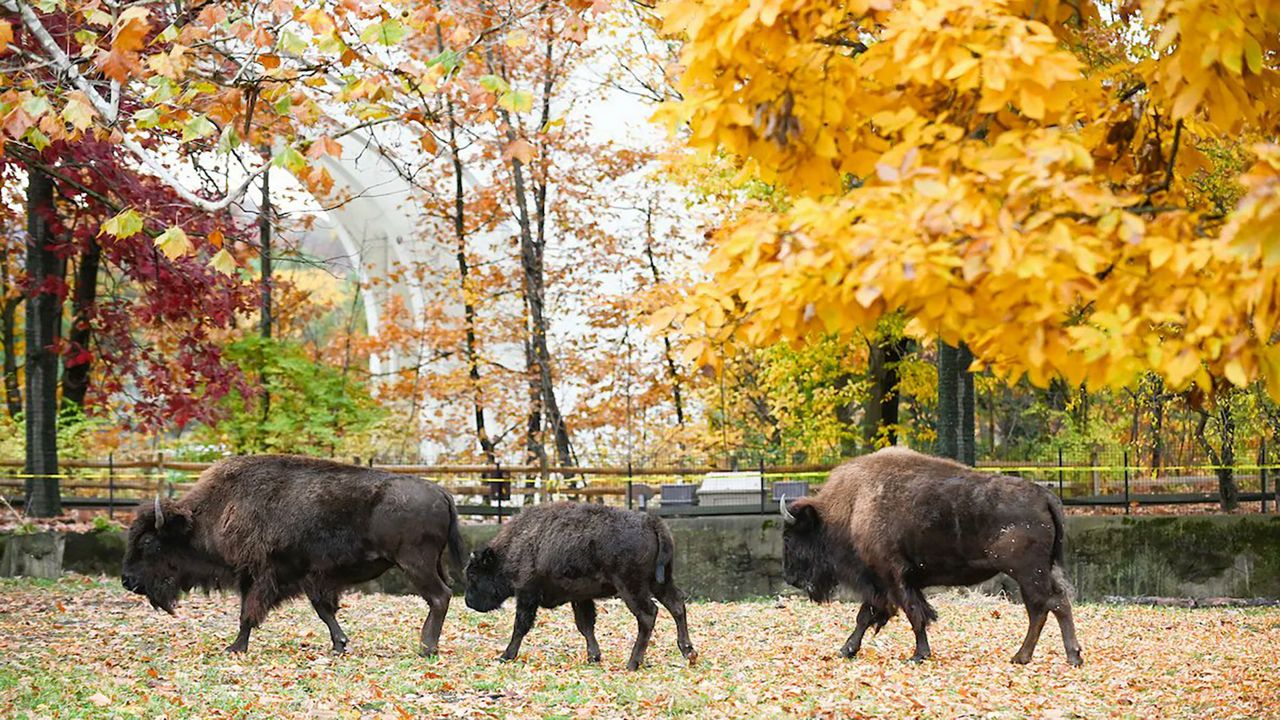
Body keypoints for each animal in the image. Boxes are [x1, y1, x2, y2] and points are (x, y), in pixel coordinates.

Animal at [122, 453, 463, 655]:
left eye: (149, 542)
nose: (127, 580)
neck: (218, 512)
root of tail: (441, 492)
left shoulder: (269, 575)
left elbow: (249, 613)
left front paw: (235, 648)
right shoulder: (304, 577)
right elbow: (324, 610)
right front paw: (339, 645)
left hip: (415, 564)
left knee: (440, 597)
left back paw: (426, 647)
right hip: (430, 563)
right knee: (441, 596)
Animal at [463, 499, 696, 666]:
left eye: (474, 575)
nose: (468, 601)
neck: (513, 546)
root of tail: (652, 522)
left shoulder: (527, 594)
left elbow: (521, 625)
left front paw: (506, 655)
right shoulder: (581, 597)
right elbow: (585, 625)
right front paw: (594, 657)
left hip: (631, 587)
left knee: (648, 614)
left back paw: (633, 663)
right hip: (660, 581)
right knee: (676, 605)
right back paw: (689, 653)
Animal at [773, 445, 1085, 666]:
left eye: (790, 537)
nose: (790, 579)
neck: (852, 506)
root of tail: (1045, 496)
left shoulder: (891, 577)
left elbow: (913, 614)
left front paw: (918, 655)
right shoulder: (885, 582)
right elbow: (869, 615)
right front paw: (846, 649)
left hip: (1028, 572)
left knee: (1049, 604)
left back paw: (1053, 657)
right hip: (1037, 572)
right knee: (1048, 606)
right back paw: (1039, 656)